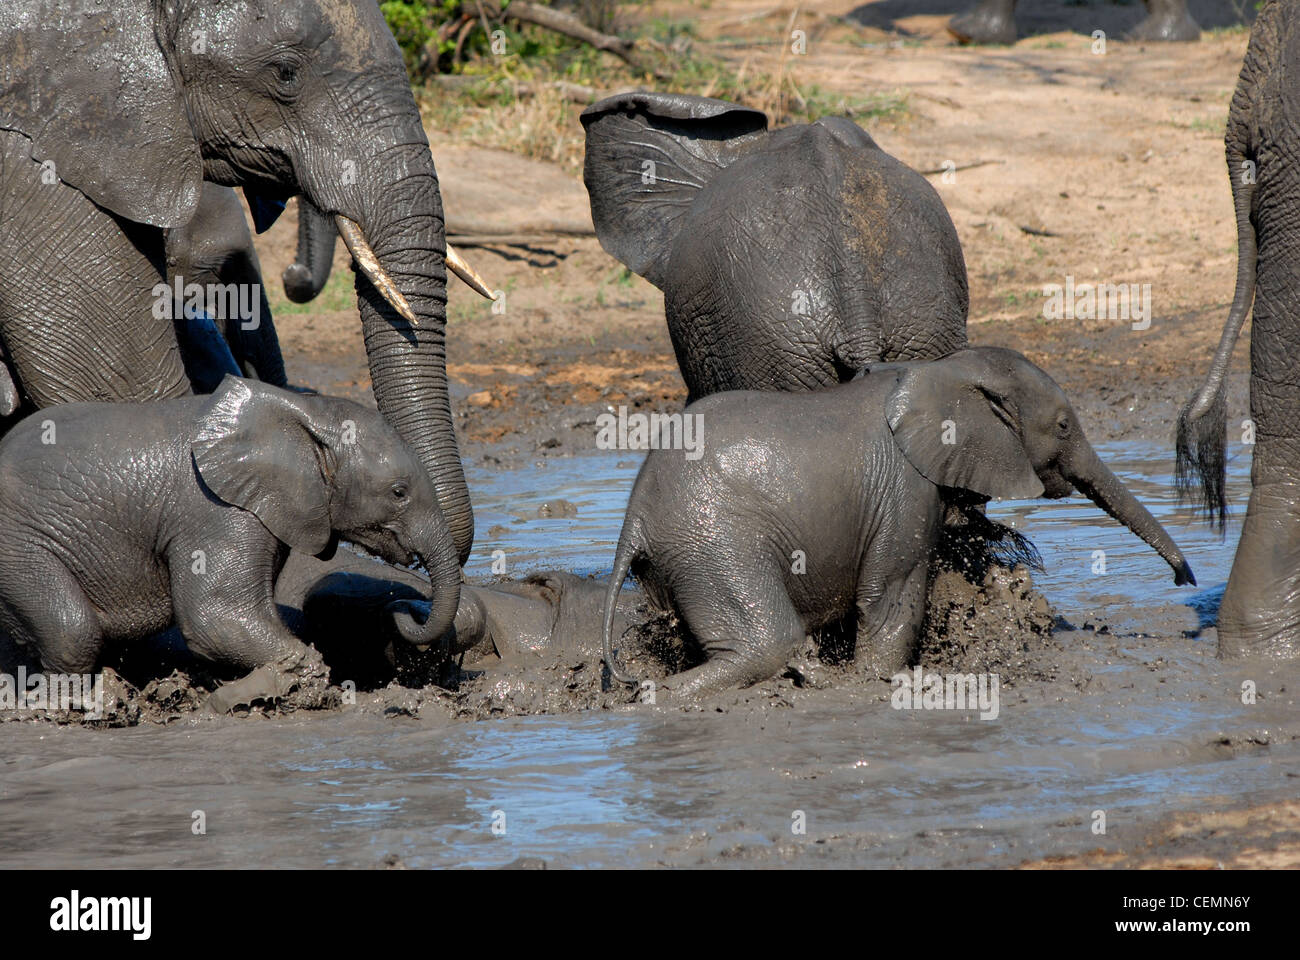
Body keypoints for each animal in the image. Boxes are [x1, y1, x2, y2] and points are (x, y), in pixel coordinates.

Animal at [0, 375, 461, 713]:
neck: (302, 412)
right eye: (399, 492)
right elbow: (215, 616)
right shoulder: (217, 514)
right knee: (71, 631)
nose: (405, 611)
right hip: (19, 546)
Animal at [602, 347, 1196, 700]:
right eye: (1065, 426)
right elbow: (890, 596)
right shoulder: (904, 488)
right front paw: (877, 681)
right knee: (766, 644)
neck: (944, 370)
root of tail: (635, 517)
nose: (1183, 579)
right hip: (713, 541)